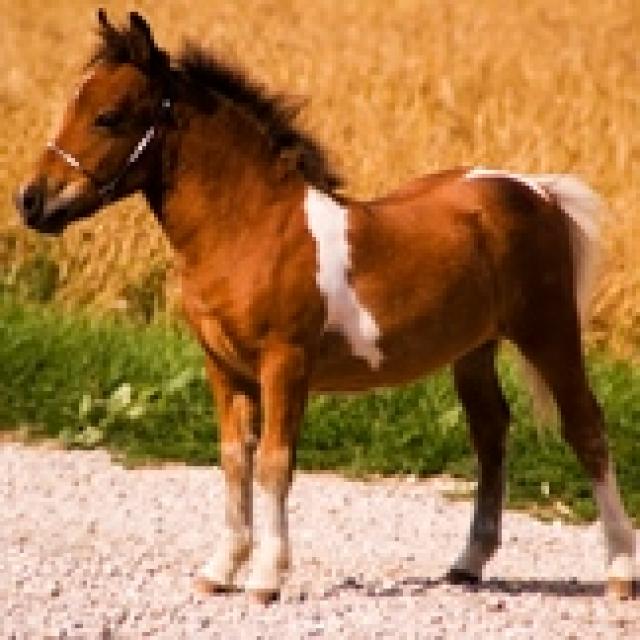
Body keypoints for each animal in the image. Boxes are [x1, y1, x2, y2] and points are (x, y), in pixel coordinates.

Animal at [15, 11, 635, 603]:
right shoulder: (223, 368)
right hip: (474, 349)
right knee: (490, 434)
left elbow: (273, 463)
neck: (252, 229)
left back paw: (619, 572)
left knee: (587, 429)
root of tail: (537, 189)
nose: (32, 202)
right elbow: (233, 461)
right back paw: (468, 563)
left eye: (108, 116)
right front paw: (220, 571)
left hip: (549, 331)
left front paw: (266, 578)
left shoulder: (285, 363)